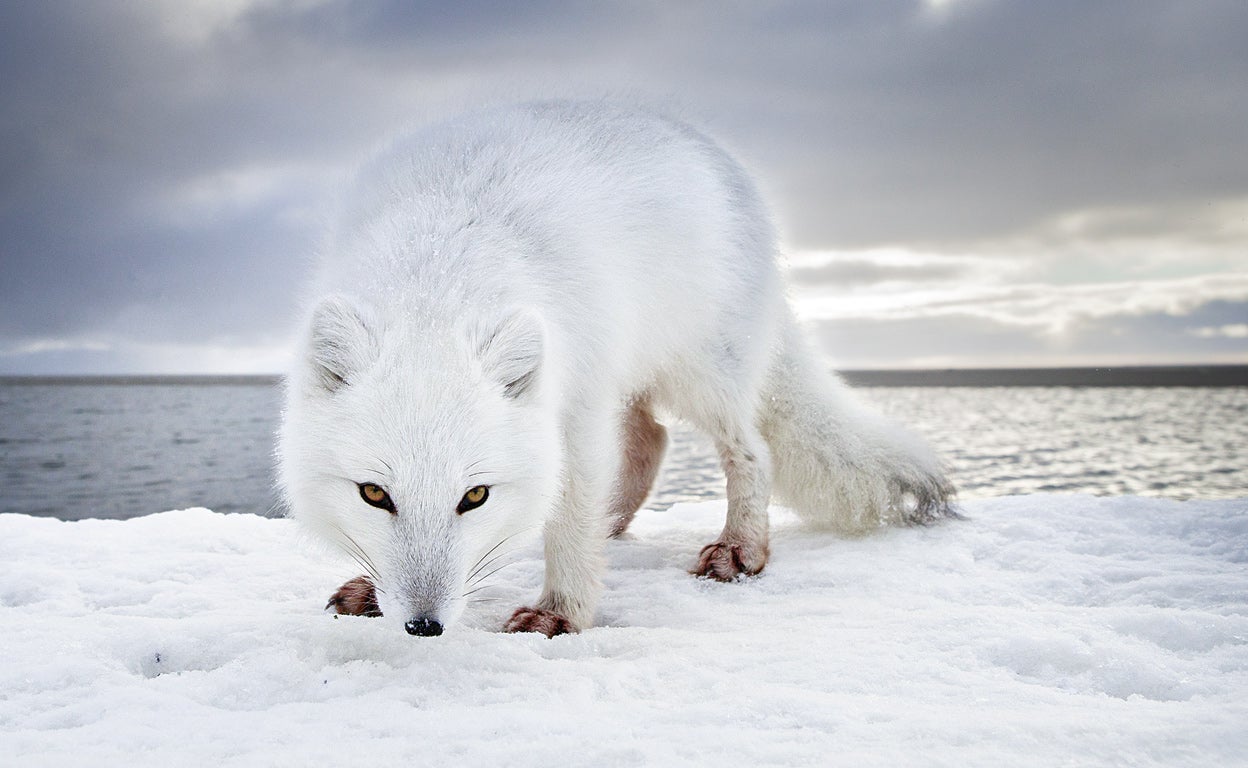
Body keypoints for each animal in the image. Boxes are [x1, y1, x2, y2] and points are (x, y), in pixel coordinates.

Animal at [277, 100, 955, 638]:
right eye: (373, 494)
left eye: (475, 496)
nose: (424, 626)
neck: (438, 274)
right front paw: (371, 592)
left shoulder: (575, 408)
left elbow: (571, 518)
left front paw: (560, 613)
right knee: (650, 439)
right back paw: (618, 523)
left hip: (700, 372)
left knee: (749, 449)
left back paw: (740, 549)